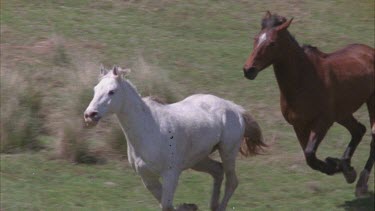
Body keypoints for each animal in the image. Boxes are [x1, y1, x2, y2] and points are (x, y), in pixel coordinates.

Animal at [85, 66, 268, 211]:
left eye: (111, 91)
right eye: (95, 89)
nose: (89, 115)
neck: (148, 130)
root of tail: (235, 108)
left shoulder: (170, 175)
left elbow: (166, 205)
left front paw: (188, 206)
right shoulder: (148, 177)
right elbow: (166, 205)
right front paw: (189, 206)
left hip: (228, 151)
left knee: (232, 181)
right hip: (198, 160)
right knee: (218, 170)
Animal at [244, 11, 375, 196]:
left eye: (272, 43)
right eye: (256, 38)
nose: (248, 70)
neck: (304, 80)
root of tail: (370, 51)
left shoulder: (323, 122)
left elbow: (310, 154)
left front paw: (335, 166)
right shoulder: (298, 125)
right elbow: (309, 158)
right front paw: (342, 167)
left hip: (370, 103)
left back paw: (361, 183)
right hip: (342, 113)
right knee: (358, 130)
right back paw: (347, 166)